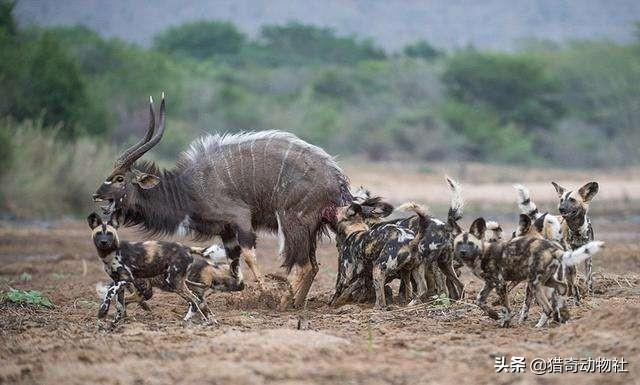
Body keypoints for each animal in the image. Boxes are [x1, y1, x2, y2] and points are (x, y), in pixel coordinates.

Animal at [87, 212, 242, 326]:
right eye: (99, 233)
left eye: (110, 233)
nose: (104, 242)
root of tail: (186, 248)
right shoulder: (119, 281)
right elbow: (118, 303)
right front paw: (112, 322)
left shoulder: (124, 279)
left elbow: (111, 294)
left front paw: (104, 315)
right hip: (171, 285)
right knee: (195, 301)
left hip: (168, 284)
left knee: (193, 301)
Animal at [92, 94, 350, 308]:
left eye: (119, 178)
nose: (96, 195)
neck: (188, 189)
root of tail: (337, 178)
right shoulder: (226, 231)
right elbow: (234, 267)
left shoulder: (241, 219)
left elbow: (248, 256)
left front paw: (266, 295)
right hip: (310, 228)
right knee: (313, 266)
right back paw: (296, 303)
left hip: (292, 222)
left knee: (303, 264)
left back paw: (283, 303)